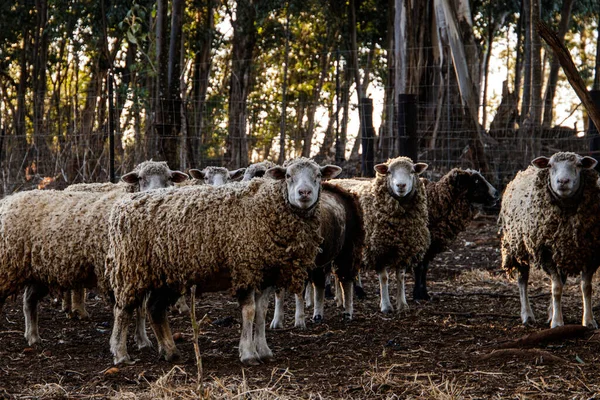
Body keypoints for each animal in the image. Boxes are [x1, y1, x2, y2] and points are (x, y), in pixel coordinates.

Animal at [0, 161, 188, 346]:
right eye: (140, 178)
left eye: (169, 178)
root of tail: (9, 199)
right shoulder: (121, 273)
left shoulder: (139, 272)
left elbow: (140, 310)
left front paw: (143, 340)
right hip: (10, 266)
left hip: (40, 270)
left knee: (29, 300)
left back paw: (33, 337)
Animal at [105, 158, 340, 364]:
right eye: (288, 176)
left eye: (319, 175)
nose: (304, 193)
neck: (267, 208)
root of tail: (123, 205)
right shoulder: (244, 266)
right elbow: (249, 311)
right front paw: (248, 354)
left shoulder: (266, 273)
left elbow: (261, 313)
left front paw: (264, 351)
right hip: (130, 271)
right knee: (122, 311)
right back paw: (120, 354)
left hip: (164, 275)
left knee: (155, 309)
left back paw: (170, 352)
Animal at [328, 156, 432, 312]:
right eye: (389, 172)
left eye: (412, 171)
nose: (401, 185)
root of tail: (335, 181)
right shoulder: (377, 249)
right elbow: (384, 277)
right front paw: (386, 306)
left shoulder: (404, 248)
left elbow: (400, 276)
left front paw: (402, 304)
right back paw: (341, 300)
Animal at [410, 169, 500, 300]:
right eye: (476, 181)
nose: (497, 193)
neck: (436, 201)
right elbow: (420, 267)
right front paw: (417, 295)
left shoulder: (430, 245)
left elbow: (425, 268)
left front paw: (425, 294)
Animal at [500, 151, 600, 328]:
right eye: (550, 165)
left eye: (579, 165)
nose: (563, 181)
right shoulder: (545, 252)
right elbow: (556, 288)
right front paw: (557, 322)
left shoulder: (591, 251)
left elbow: (586, 287)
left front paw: (588, 321)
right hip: (518, 247)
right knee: (523, 280)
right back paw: (527, 315)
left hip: (561, 251)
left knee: (561, 278)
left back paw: (550, 312)